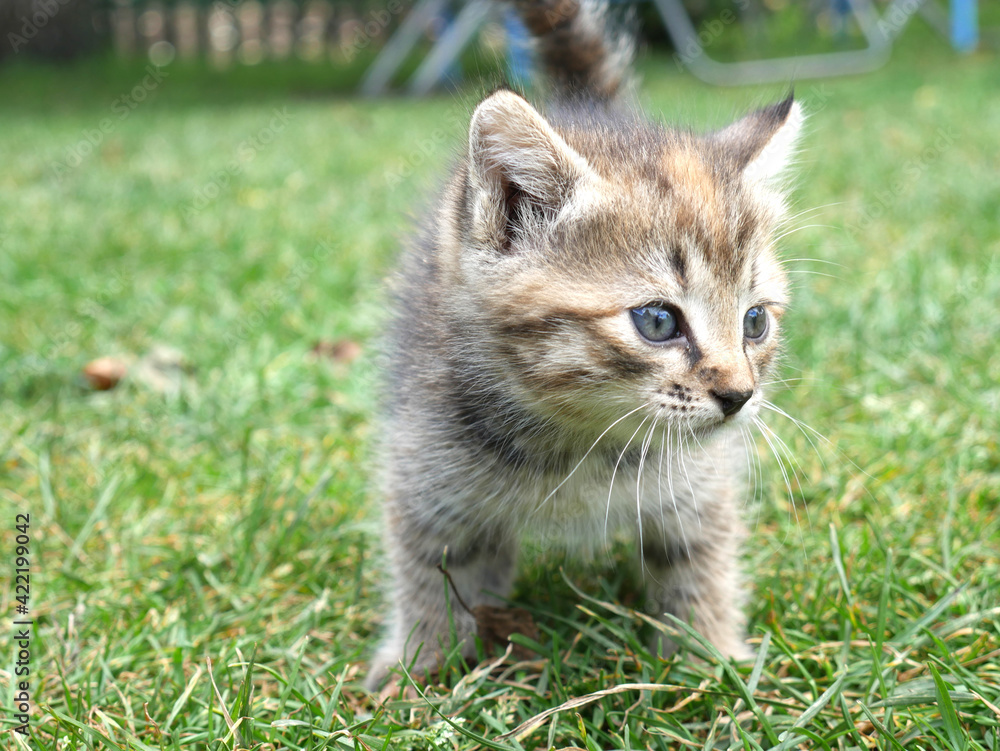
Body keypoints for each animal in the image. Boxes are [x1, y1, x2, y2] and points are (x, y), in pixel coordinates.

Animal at [368, 0, 804, 688]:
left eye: (755, 321)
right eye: (657, 321)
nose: (740, 395)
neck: (581, 443)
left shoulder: (698, 487)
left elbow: (699, 561)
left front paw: (709, 663)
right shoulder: (424, 468)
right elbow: (429, 570)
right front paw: (421, 670)